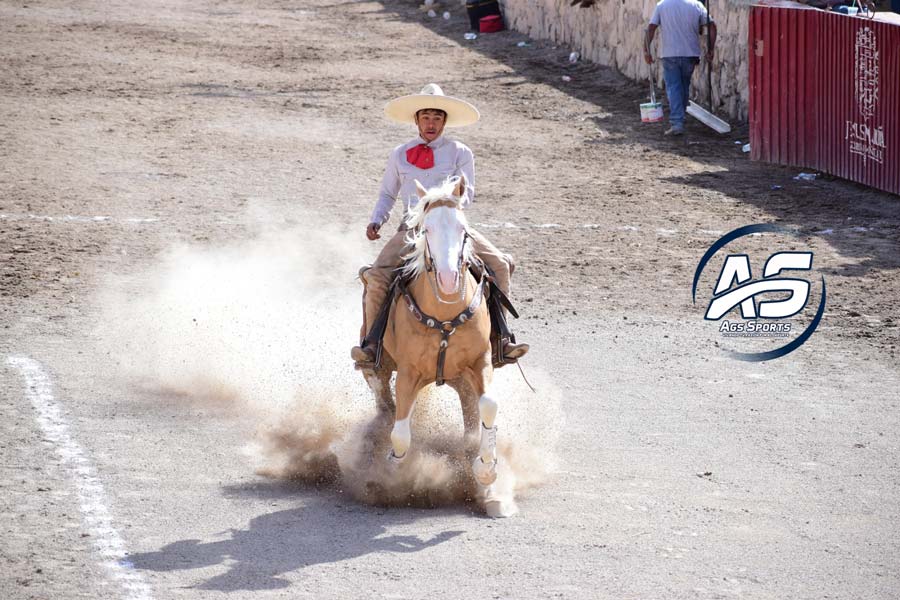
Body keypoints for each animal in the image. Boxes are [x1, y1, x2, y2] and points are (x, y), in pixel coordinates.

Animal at [360, 176, 512, 516]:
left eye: (463, 230)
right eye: (425, 230)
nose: (447, 278)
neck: (444, 316)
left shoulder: (480, 362)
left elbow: (488, 406)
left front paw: (486, 468)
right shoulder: (408, 373)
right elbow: (401, 433)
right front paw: (393, 468)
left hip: (461, 380)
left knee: (470, 416)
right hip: (379, 363)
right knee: (382, 397)